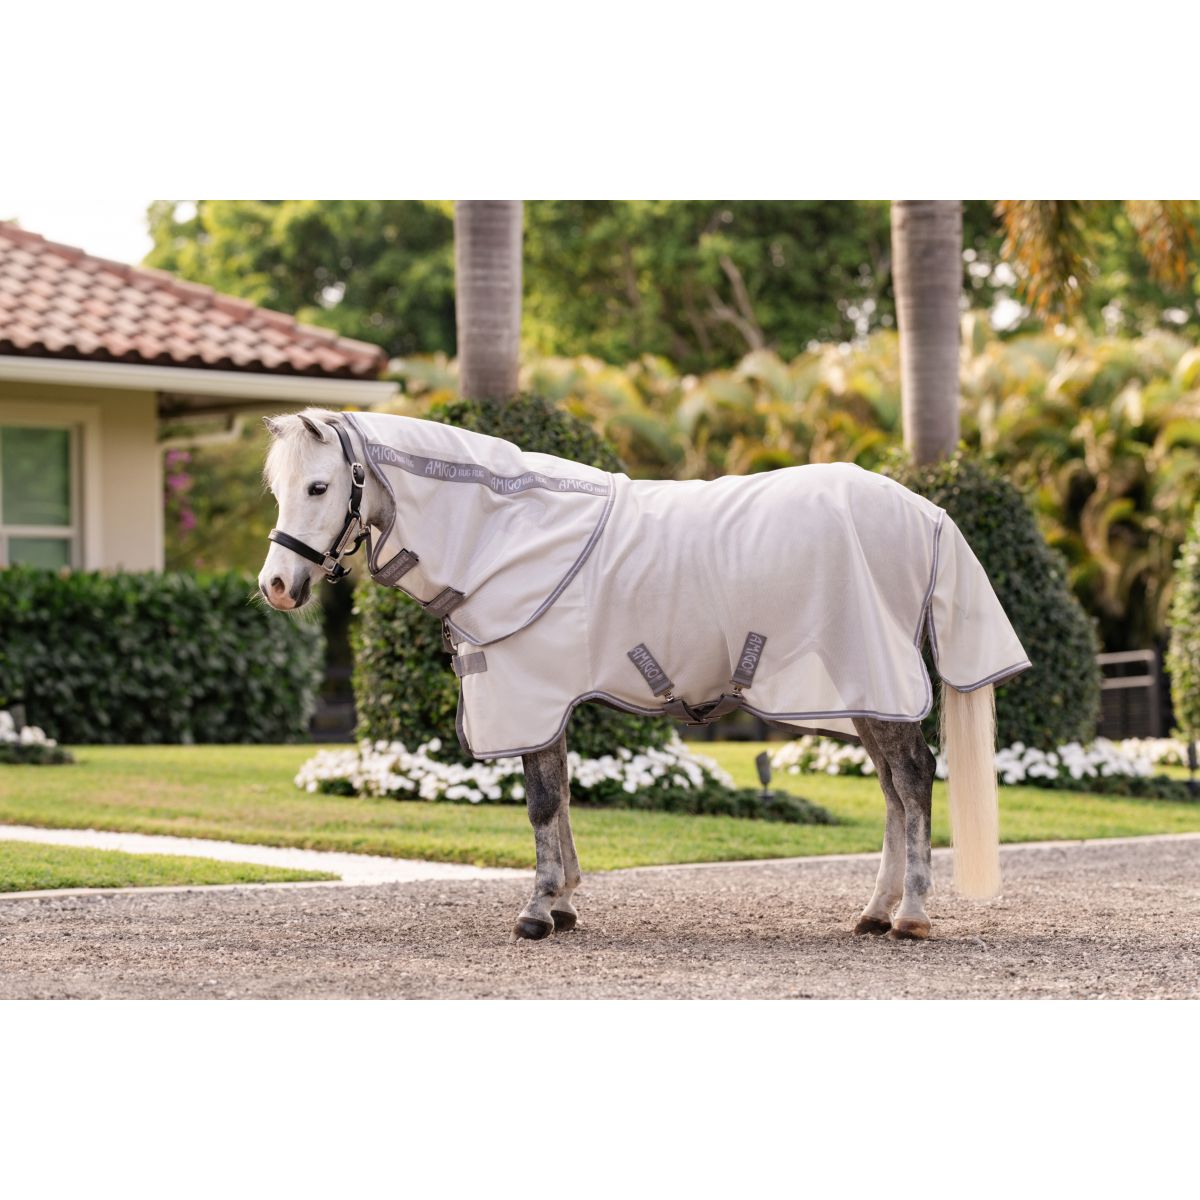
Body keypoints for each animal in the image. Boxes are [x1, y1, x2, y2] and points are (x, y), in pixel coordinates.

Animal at [258, 407, 1029, 941]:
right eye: (277, 488)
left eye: (319, 486)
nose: (277, 586)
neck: (504, 530)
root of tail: (923, 511)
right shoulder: (549, 701)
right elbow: (562, 796)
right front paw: (564, 902)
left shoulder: (531, 694)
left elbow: (541, 803)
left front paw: (538, 911)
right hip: (864, 695)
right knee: (896, 790)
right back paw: (875, 911)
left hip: (875, 683)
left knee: (914, 780)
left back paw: (911, 916)